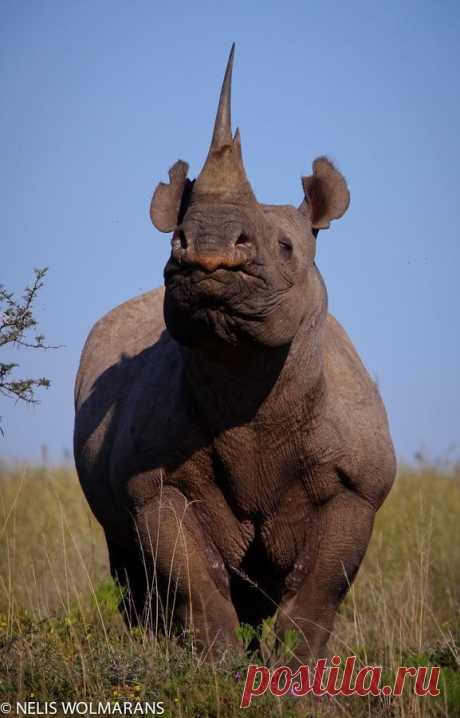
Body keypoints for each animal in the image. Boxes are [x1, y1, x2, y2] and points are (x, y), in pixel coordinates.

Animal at [74, 45, 396, 663]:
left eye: (286, 247)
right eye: (174, 239)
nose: (207, 251)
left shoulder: (357, 488)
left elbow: (319, 589)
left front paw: (297, 674)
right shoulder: (152, 487)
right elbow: (195, 581)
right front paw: (215, 666)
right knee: (130, 567)